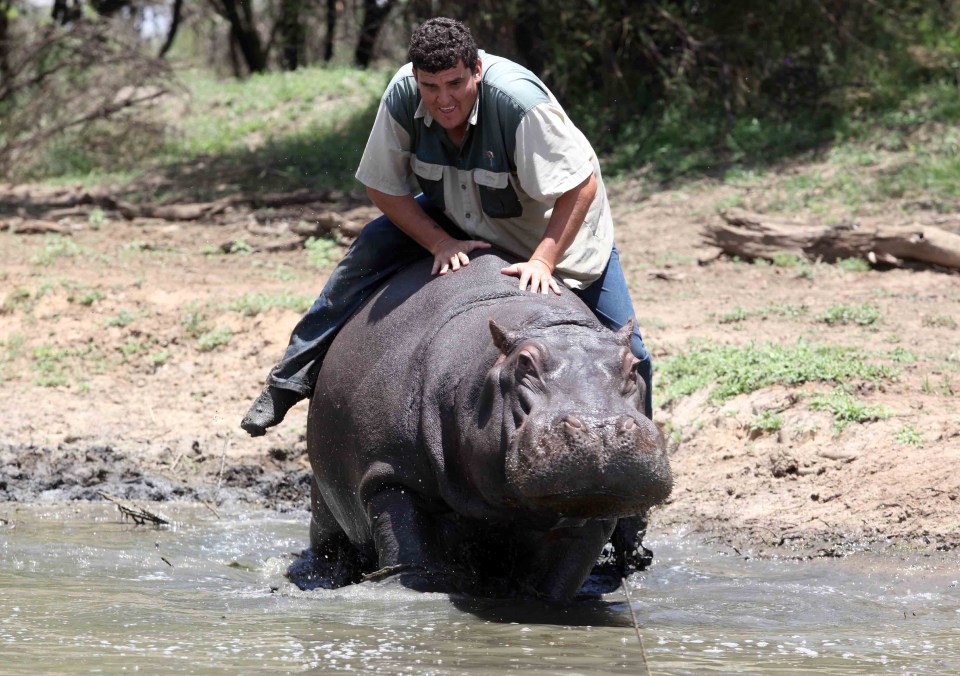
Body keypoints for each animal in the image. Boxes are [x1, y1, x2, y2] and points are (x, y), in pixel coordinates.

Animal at [298, 248, 668, 604]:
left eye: (633, 365)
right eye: (524, 363)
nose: (600, 427)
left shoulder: (590, 512)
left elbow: (559, 578)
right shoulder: (391, 473)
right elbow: (409, 555)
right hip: (323, 505)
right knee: (328, 543)